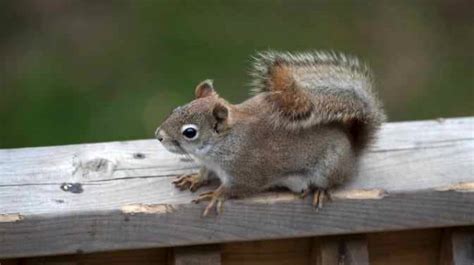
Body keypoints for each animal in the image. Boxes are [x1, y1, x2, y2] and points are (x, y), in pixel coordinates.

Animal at [156, 50, 386, 216]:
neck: (222, 144)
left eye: (190, 132)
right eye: (175, 109)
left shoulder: (247, 169)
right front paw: (194, 178)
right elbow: (204, 173)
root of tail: (352, 150)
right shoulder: (209, 164)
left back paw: (320, 191)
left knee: (332, 181)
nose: (159, 135)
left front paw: (215, 195)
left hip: (330, 167)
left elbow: (238, 187)